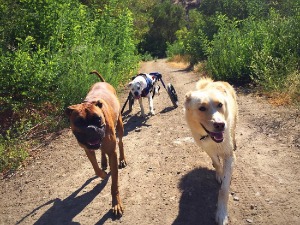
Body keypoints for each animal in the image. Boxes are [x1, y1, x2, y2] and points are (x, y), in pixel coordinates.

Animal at [65, 71, 126, 216]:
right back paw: (103, 162)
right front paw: (102, 173)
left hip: (120, 126)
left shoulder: (112, 152)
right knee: (102, 152)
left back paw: (122, 159)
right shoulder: (88, 150)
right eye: (79, 122)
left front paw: (116, 203)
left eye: (98, 119)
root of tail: (103, 82)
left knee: (120, 143)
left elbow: (114, 184)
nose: (91, 128)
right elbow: (96, 168)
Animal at [184, 77, 238, 225]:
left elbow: (224, 190)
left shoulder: (229, 156)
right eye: (202, 108)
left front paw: (221, 213)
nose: (220, 125)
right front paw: (219, 174)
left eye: (219, 105)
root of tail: (215, 81)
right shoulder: (207, 149)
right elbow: (217, 163)